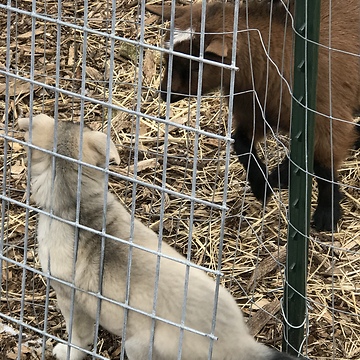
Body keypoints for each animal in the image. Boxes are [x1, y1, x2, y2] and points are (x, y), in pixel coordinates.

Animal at [146, 0, 360, 231]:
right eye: (167, 58)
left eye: (196, 66)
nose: (165, 94)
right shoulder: (255, 113)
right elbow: (241, 143)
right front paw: (262, 187)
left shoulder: (326, 119)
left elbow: (323, 167)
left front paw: (327, 214)